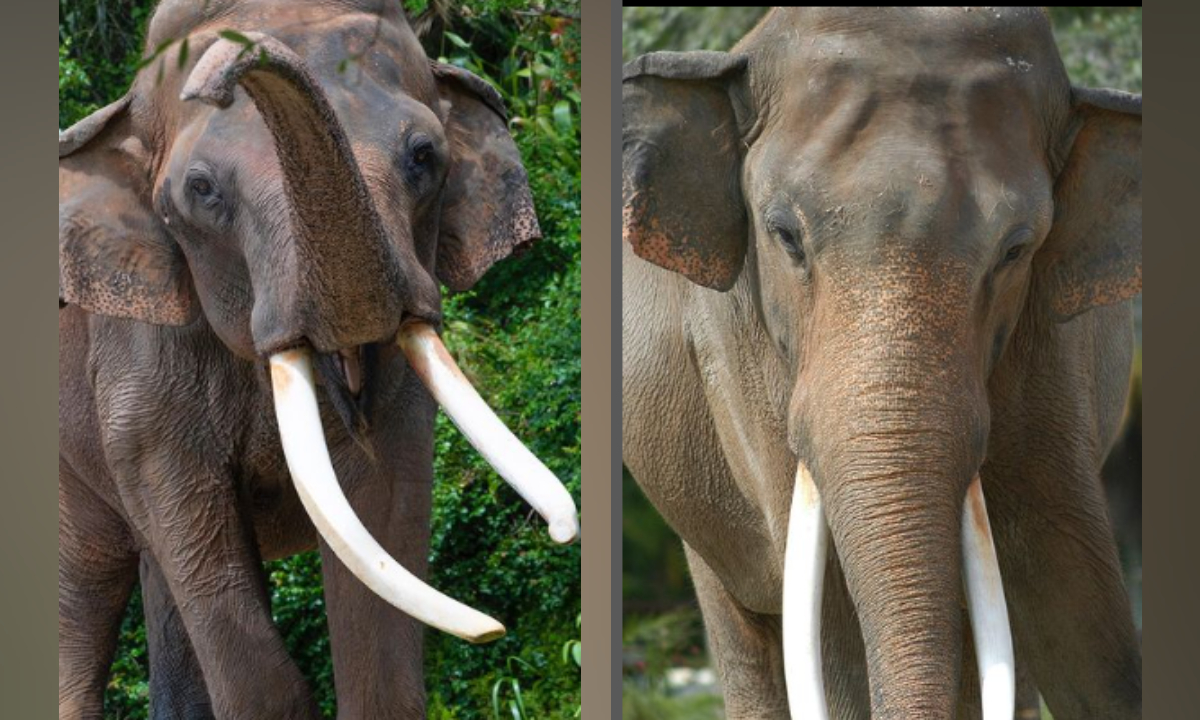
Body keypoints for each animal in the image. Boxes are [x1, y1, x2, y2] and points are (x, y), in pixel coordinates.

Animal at [58, 1, 579, 718]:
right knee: (81, 598)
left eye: (424, 156)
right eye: (202, 190)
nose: (216, 75)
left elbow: (383, 521)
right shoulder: (140, 363)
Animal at [622, 7, 1140, 720]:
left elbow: (1072, 589)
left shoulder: (1050, 346)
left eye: (1015, 249)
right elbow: (833, 621)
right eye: (784, 235)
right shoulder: (738, 350)